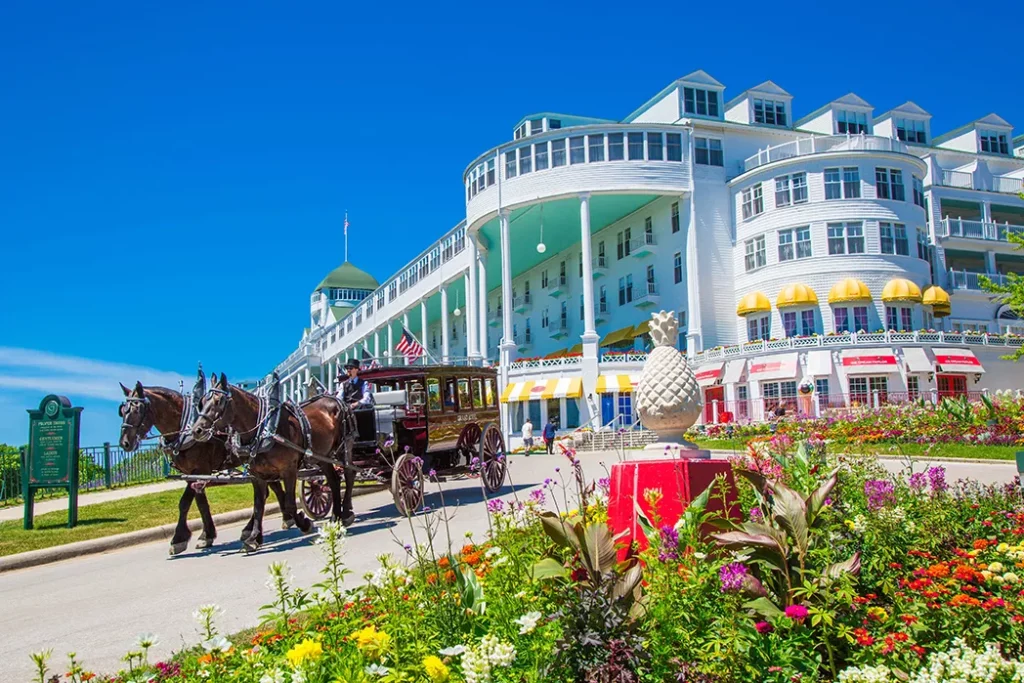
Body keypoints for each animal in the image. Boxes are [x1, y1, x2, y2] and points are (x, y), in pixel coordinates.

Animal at [120, 382, 299, 552]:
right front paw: (207, 535)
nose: (125, 443)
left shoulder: (200, 470)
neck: (184, 427)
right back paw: (274, 521)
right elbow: (201, 503)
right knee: (272, 489)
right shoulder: (191, 474)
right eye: (122, 411)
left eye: (137, 409)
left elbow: (185, 502)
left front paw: (178, 539)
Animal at [186, 370, 358, 552]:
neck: (265, 431)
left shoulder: (289, 470)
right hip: (322, 456)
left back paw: (346, 513)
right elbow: (258, 506)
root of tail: (336, 400)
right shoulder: (257, 475)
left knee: (349, 474)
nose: (196, 430)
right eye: (202, 402)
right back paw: (335, 518)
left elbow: (290, 504)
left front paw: (304, 524)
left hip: (344, 447)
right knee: (334, 480)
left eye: (218, 401)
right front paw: (253, 538)